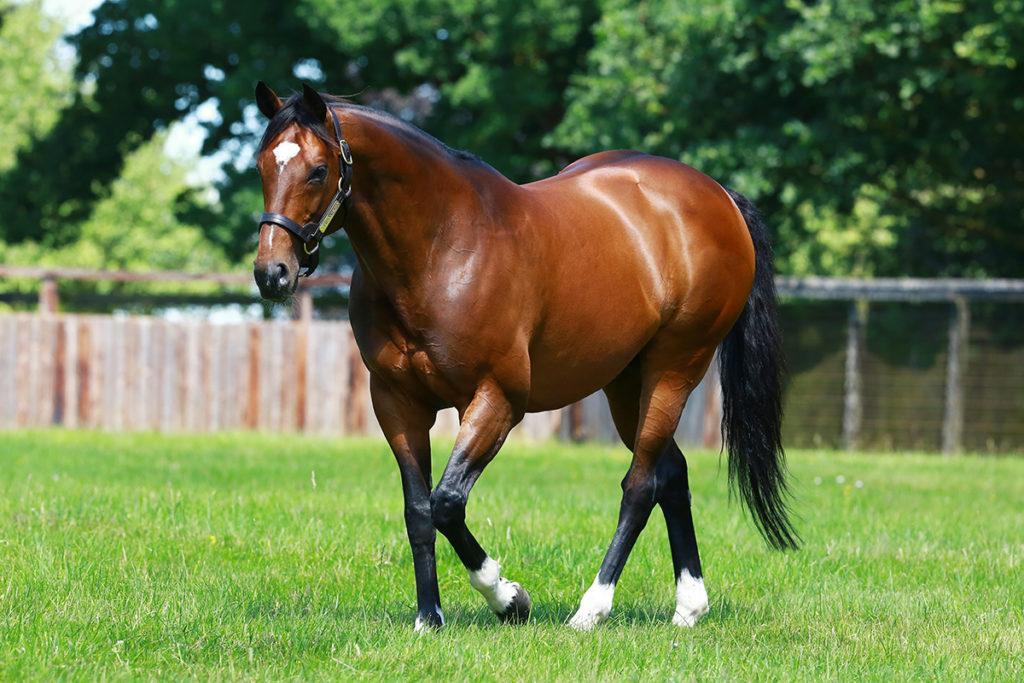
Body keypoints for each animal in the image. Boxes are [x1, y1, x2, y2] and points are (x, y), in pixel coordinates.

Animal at [251, 82, 794, 634]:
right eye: (262, 166)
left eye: (318, 170)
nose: (272, 273)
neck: (445, 245)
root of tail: (718, 196)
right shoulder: (397, 403)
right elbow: (418, 510)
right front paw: (429, 617)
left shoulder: (498, 400)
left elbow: (447, 503)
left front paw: (508, 597)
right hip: (626, 383)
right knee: (672, 475)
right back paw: (689, 606)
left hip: (675, 368)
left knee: (641, 486)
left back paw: (592, 609)